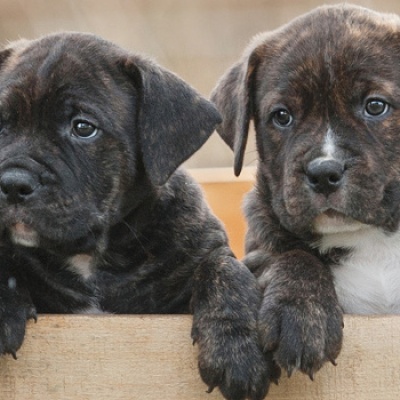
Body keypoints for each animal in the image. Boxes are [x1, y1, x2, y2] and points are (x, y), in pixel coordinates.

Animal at [0, 32, 272, 400]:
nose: (12, 184)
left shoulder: (202, 252)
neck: (92, 258)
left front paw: (236, 352)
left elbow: (225, 271)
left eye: (83, 128)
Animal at [211, 4, 400, 382]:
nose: (324, 172)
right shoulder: (258, 255)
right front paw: (300, 313)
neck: (371, 239)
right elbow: (292, 256)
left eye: (376, 106)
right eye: (282, 116)